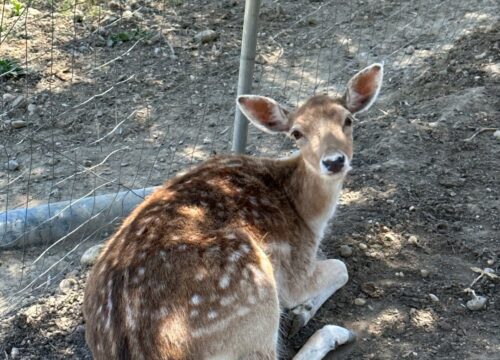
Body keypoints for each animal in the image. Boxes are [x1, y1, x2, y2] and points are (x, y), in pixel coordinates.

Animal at [84, 63, 384, 358]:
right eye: (297, 133)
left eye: (348, 120)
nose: (334, 161)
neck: (308, 215)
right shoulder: (296, 268)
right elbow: (341, 267)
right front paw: (302, 309)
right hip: (255, 290)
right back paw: (335, 333)